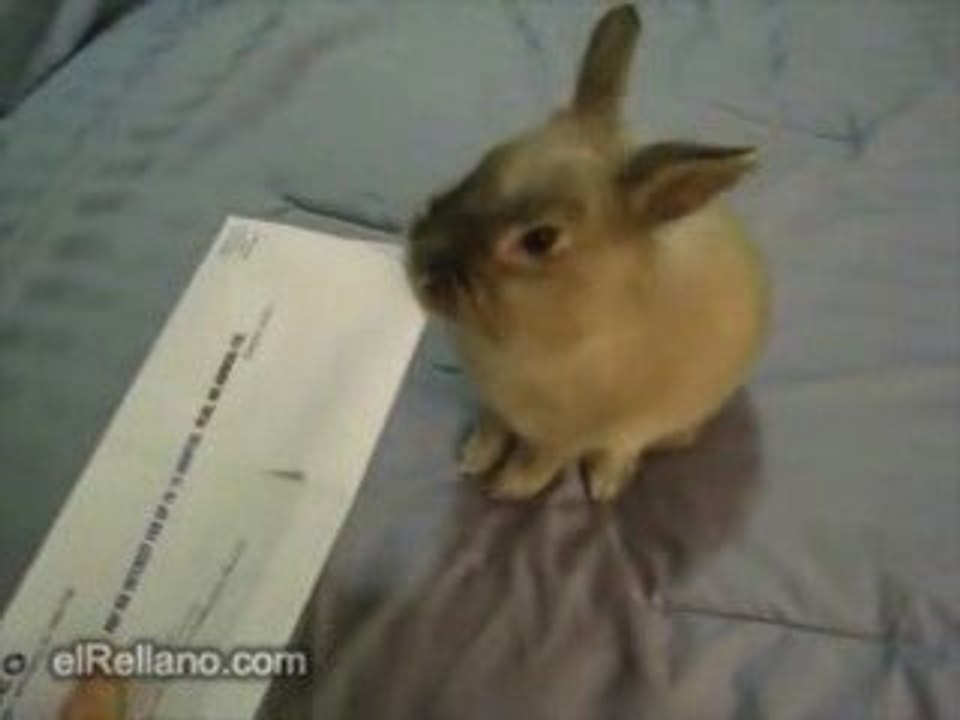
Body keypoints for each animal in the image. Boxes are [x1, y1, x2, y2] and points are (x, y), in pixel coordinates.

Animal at [407, 3, 769, 502]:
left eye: (540, 239)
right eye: (485, 161)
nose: (420, 266)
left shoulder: (566, 435)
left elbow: (540, 461)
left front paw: (508, 488)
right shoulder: (494, 404)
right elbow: (492, 429)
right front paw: (473, 459)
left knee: (630, 446)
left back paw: (604, 483)